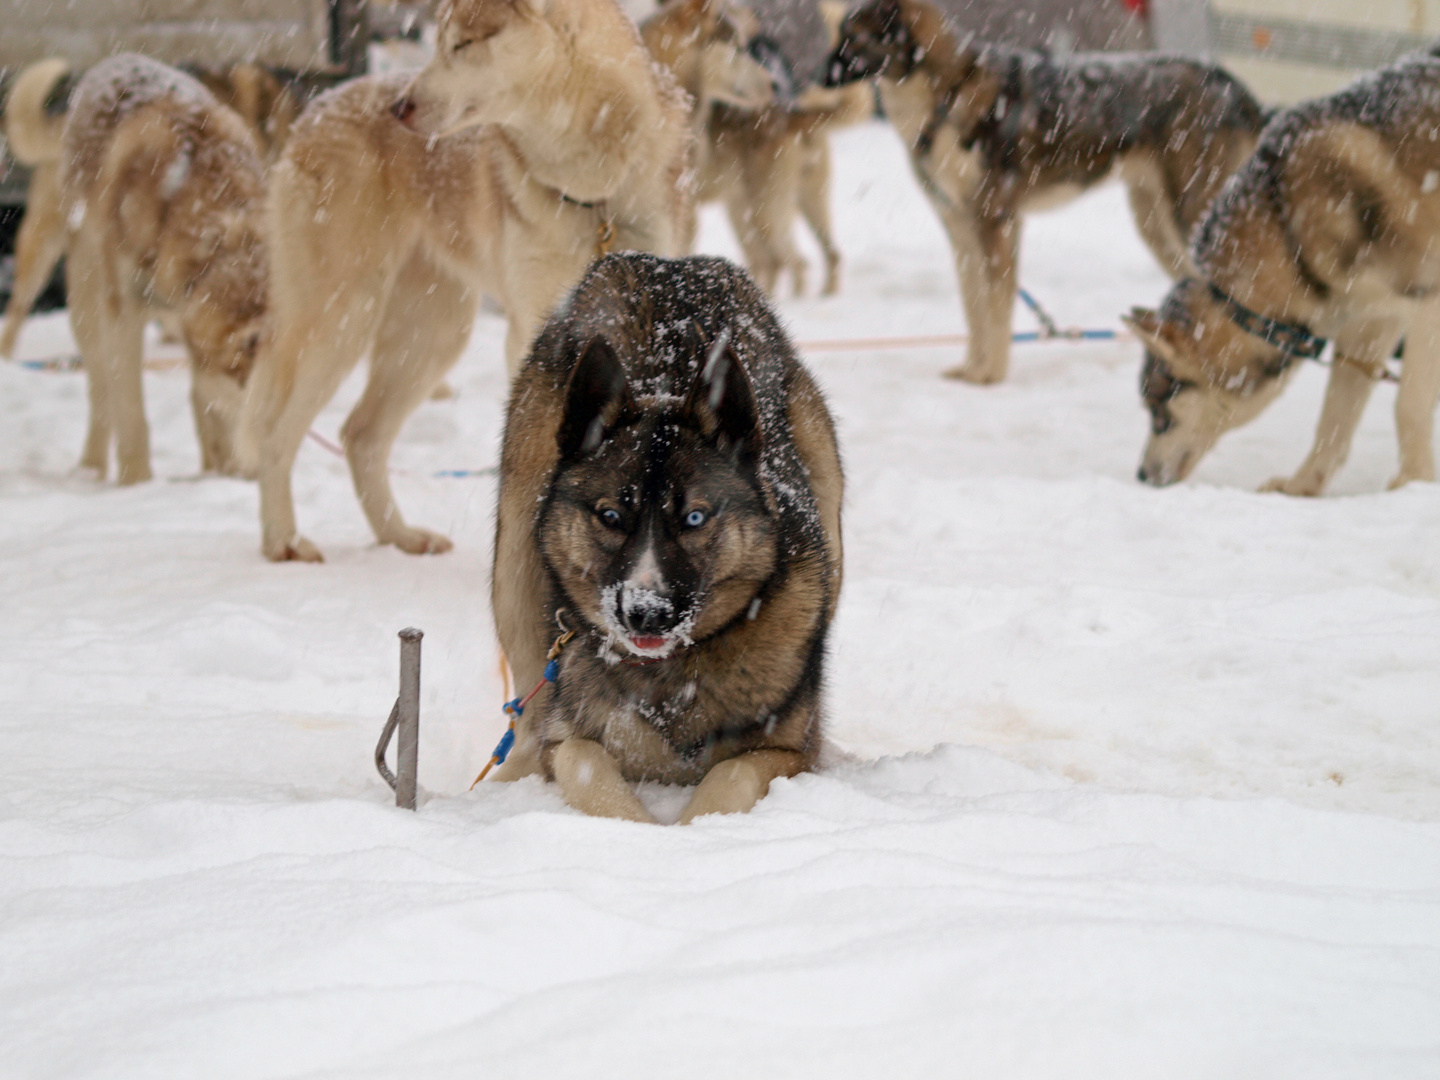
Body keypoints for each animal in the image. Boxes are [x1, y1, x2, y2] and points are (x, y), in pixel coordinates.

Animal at [11, 55, 267, 483]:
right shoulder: (124, 313)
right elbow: (131, 415)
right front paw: (137, 484)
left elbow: (210, 411)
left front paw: (223, 475)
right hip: (82, 294)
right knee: (100, 392)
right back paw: (92, 469)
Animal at [240, 0, 691, 561]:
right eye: (439, 43)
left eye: (465, 44)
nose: (399, 108)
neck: (594, 193)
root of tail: (316, 109)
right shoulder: (536, 332)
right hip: (342, 320)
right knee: (275, 431)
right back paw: (282, 541)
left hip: (432, 333)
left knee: (360, 433)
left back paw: (401, 537)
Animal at [492, 253, 840, 823]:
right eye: (611, 515)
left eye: (695, 518)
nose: (646, 613)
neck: (669, 673)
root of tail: (665, 264)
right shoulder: (567, 739)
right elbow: (584, 761)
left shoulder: (791, 750)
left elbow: (732, 772)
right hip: (516, 557)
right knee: (526, 707)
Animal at [829, 0, 1267, 385]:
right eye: (840, 34)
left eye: (854, 38)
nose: (821, 74)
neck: (949, 92)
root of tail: (1235, 87)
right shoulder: (962, 232)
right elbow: (975, 310)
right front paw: (970, 370)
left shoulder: (997, 223)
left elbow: (996, 312)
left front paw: (990, 378)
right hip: (1155, 224)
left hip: (1188, 214)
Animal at [1128, 48, 1440, 492]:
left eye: (1160, 414)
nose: (1140, 475)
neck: (1288, 231)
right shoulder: (1368, 325)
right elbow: (1335, 419)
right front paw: (1302, 487)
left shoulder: (1426, 304)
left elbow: (1408, 405)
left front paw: (1413, 485)